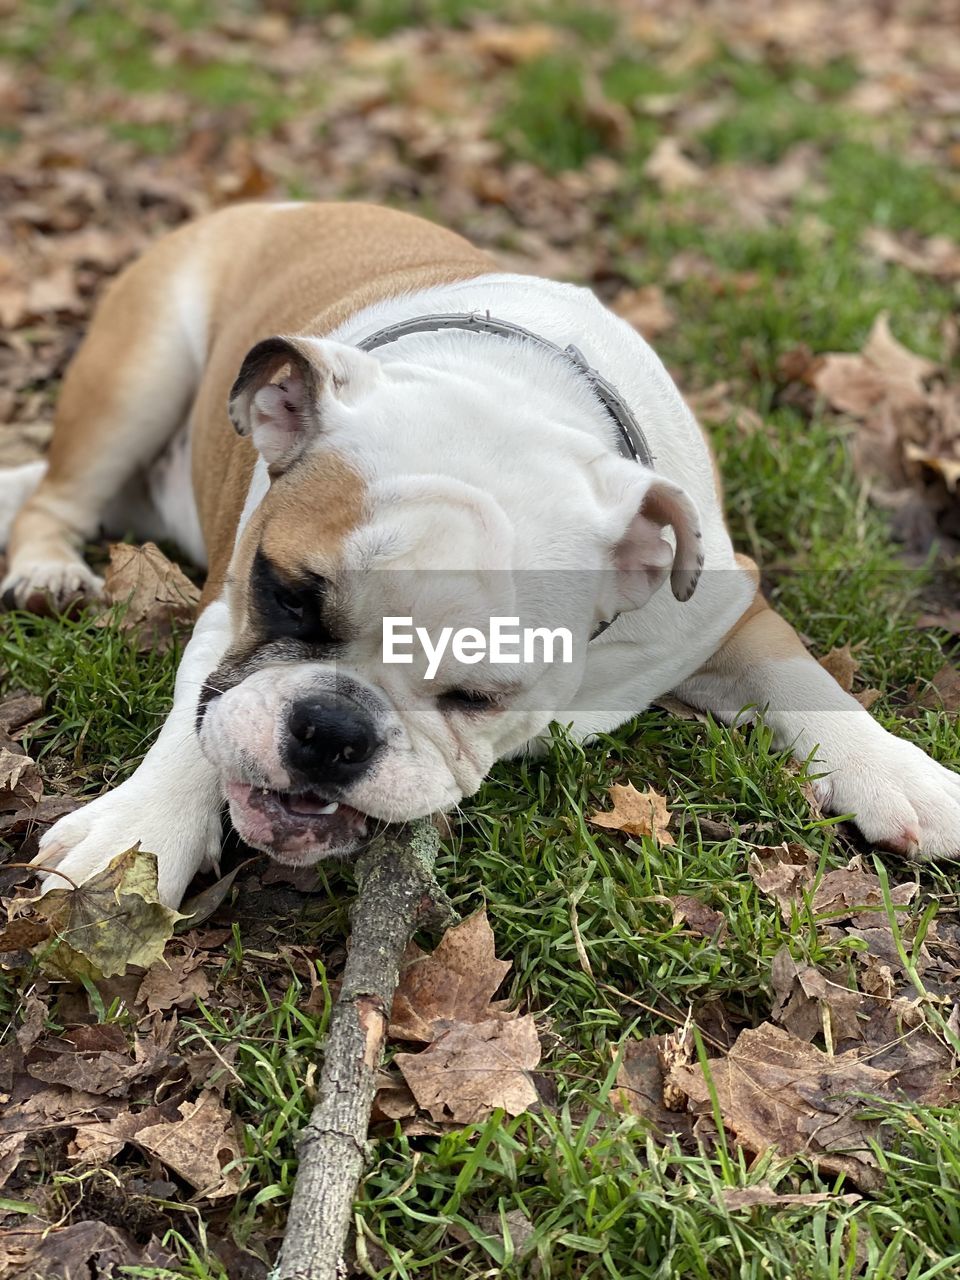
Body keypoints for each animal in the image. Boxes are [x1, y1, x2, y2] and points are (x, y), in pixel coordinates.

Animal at [1, 204, 960, 906]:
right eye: (288, 596)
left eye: (477, 695)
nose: (333, 730)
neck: (508, 400)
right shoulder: (223, 609)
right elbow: (197, 720)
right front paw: (135, 832)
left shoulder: (720, 610)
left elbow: (807, 678)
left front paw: (907, 778)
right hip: (138, 369)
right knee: (58, 491)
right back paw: (48, 570)